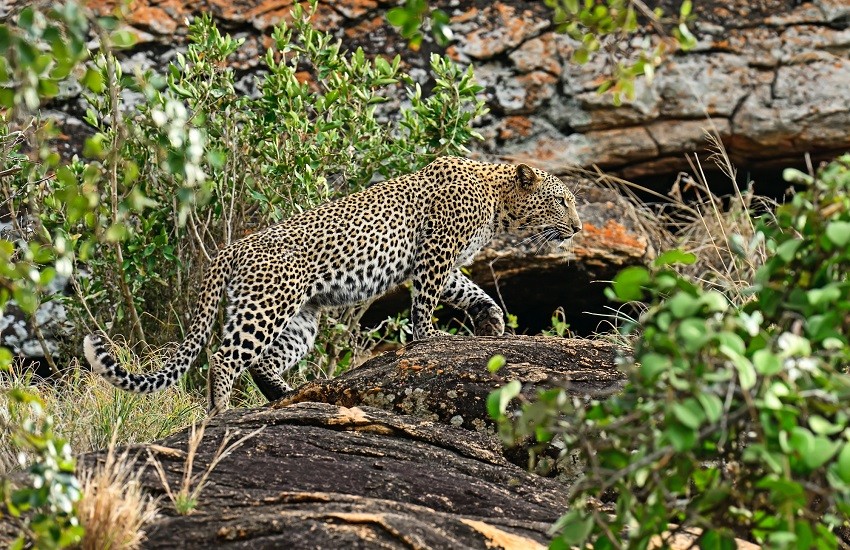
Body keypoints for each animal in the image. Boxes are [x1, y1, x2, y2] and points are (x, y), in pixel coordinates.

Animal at [83, 155, 580, 414]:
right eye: (561, 202)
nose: (577, 228)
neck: (498, 204)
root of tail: (231, 249)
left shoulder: (443, 261)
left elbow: (470, 290)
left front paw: (491, 321)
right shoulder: (435, 254)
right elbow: (425, 302)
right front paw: (429, 338)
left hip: (301, 320)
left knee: (263, 362)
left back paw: (289, 396)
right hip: (266, 306)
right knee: (225, 356)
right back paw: (221, 411)